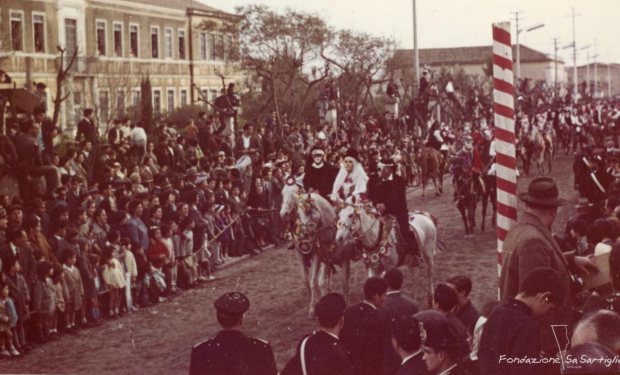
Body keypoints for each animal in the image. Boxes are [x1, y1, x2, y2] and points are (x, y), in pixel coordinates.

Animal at [280, 182, 348, 318]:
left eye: (294, 192)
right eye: (282, 192)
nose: (283, 213)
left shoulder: (318, 255)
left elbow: (315, 281)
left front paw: (316, 306)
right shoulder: (300, 254)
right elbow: (306, 280)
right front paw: (315, 302)